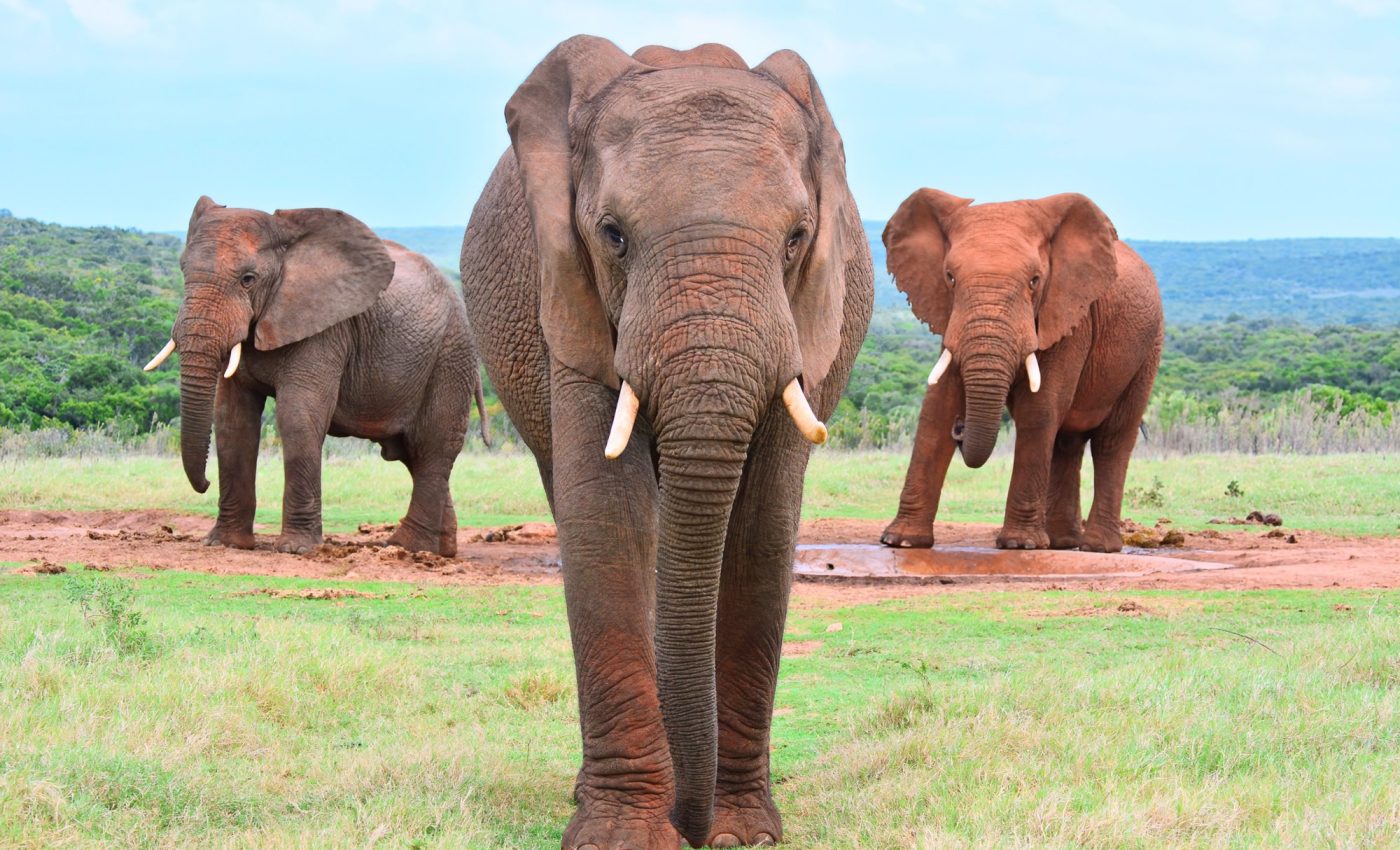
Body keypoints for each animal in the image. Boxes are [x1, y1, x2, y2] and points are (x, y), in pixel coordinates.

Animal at [144, 196, 487, 555]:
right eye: (183, 271)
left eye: (248, 279)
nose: (206, 483)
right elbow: (232, 422)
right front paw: (225, 543)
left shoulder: (326, 329)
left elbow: (298, 417)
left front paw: (296, 549)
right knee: (414, 455)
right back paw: (441, 551)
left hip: (451, 357)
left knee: (431, 447)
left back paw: (405, 547)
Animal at [459, 36, 872, 849]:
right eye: (613, 235)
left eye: (797, 238)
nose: (693, 821)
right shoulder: (572, 300)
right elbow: (608, 520)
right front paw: (623, 836)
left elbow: (761, 529)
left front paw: (743, 834)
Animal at [878, 189, 1163, 553]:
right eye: (950, 278)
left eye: (1034, 281)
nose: (961, 426)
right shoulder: (950, 316)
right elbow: (937, 408)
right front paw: (901, 541)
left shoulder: (1070, 316)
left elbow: (1038, 410)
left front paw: (1019, 545)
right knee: (1067, 442)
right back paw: (1061, 543)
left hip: (1148, 351)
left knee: (1112, 441)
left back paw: (1097, 547)